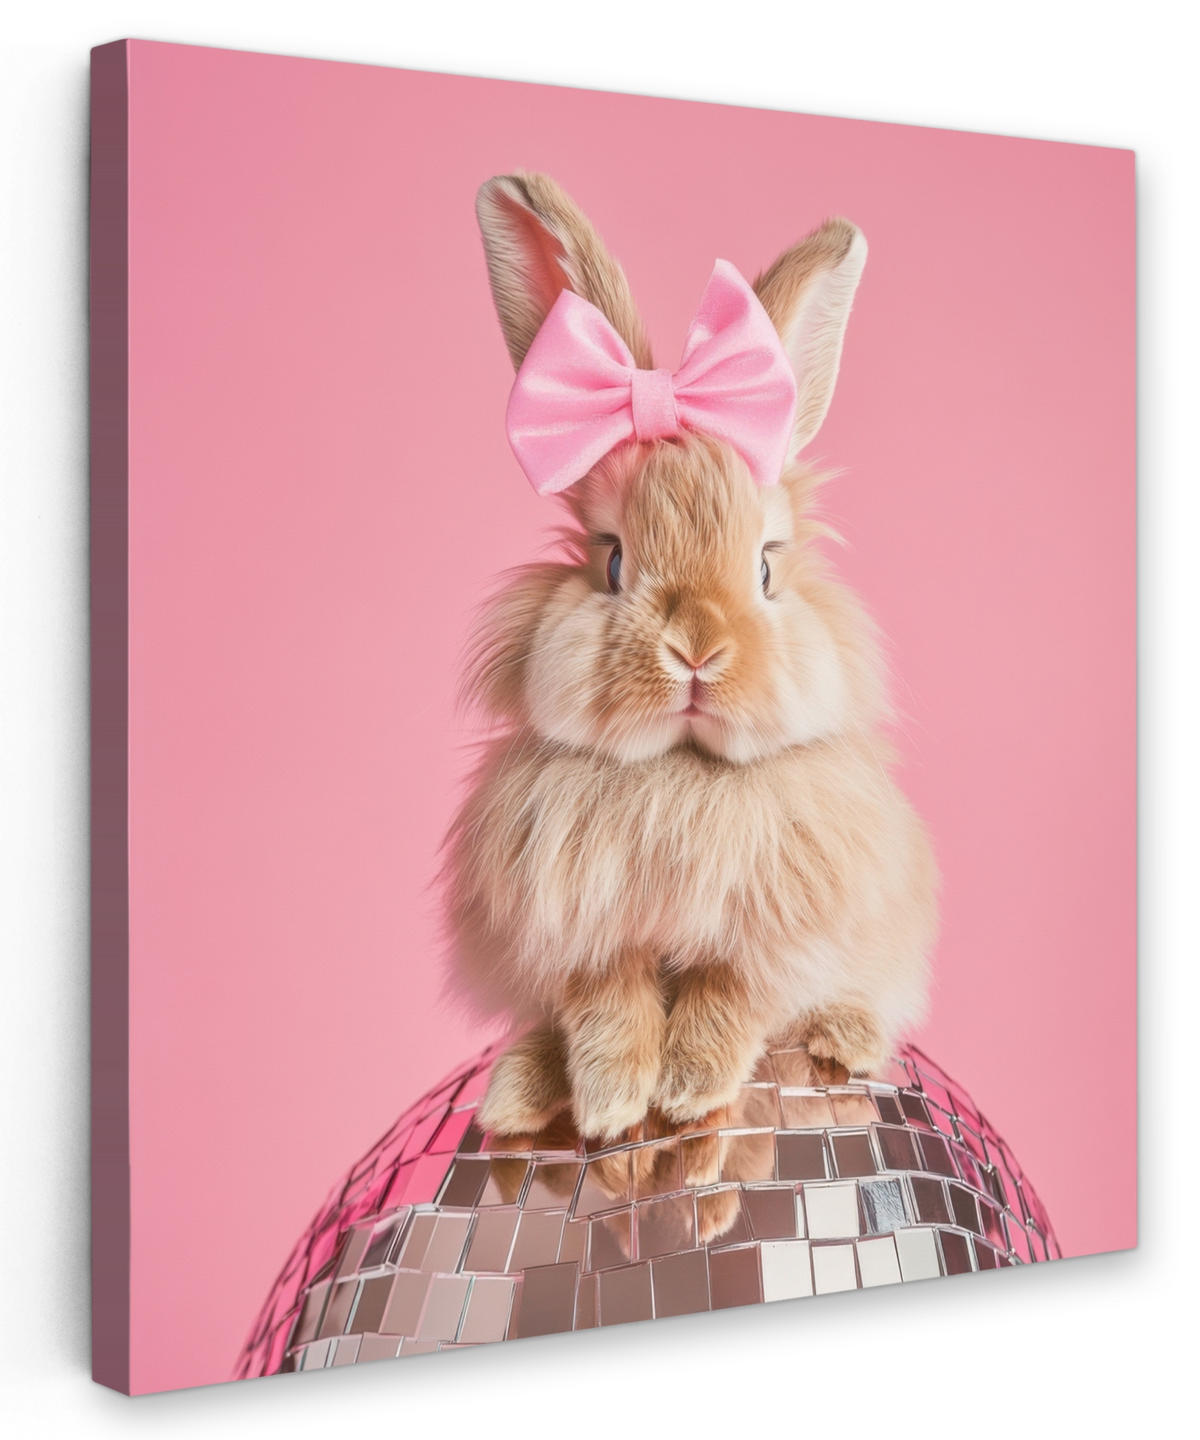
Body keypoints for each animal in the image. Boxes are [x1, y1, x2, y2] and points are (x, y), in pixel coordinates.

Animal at [442, 171, 938, 1144]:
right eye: (611, 561)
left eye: (767, 567)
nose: (697, 648)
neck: (680, 774)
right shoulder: (584, 931)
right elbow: (608, 1003)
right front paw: (611, 1102)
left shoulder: (774, 933)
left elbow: (727, 996)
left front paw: (689, 1090)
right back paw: (518, 1093)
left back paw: (845, 1042)